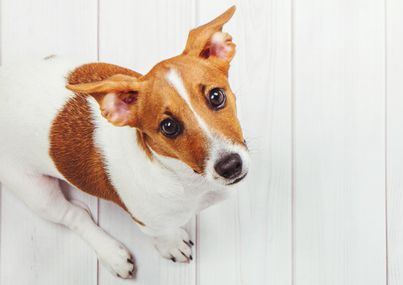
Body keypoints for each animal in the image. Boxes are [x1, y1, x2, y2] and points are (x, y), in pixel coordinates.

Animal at [0, 5, 249, 278]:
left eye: (216, 96)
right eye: (169, 127)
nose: (230, 166)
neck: (184, 178)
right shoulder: (148, 223)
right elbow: (162, 235)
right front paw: (171, 244)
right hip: (34, 192)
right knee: (72, 215)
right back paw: (111, 253)